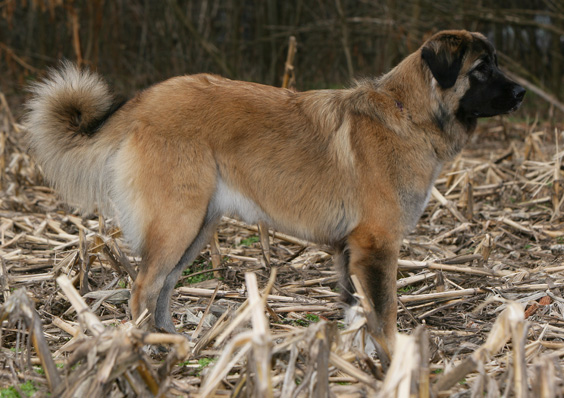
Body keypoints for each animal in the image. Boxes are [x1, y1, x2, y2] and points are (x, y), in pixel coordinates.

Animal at [23, 29, 524, 352]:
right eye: (482, 68)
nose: (521, 93)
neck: (410, 113)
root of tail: (144, 101)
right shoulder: (377, 244)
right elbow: (384, 313)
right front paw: (391, 362)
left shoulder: (352, 249)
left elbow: (356, 312)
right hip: (178, 222)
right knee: (143, 287)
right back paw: (143, 354)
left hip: (196, 226)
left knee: (162, 286)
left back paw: (174, 346)